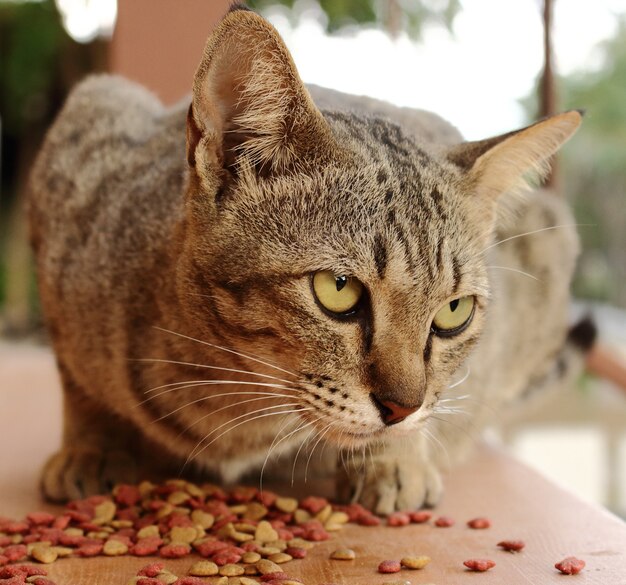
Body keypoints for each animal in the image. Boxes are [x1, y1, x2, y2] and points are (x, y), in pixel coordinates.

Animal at [28, 4, 588, 512]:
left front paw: (395, 459)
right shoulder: (86, 129)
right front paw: (92, 447)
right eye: (337, 289)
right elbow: (78, 386)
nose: (401, 408)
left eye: (454, 312)